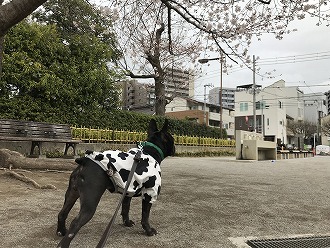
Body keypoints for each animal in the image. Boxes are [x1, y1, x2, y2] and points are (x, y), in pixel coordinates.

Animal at [56, 119, 175, 247]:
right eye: (172, 139)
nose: (174, 147)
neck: (151, 151)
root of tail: (85, 162)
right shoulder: (149, 194)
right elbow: (145, 215)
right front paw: (149, 231)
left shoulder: (128, 191)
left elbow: (125, 208)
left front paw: (127, 223)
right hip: (90, 202)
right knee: (75, 223)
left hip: (71, 194)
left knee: (62, 213)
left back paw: (61, 231)